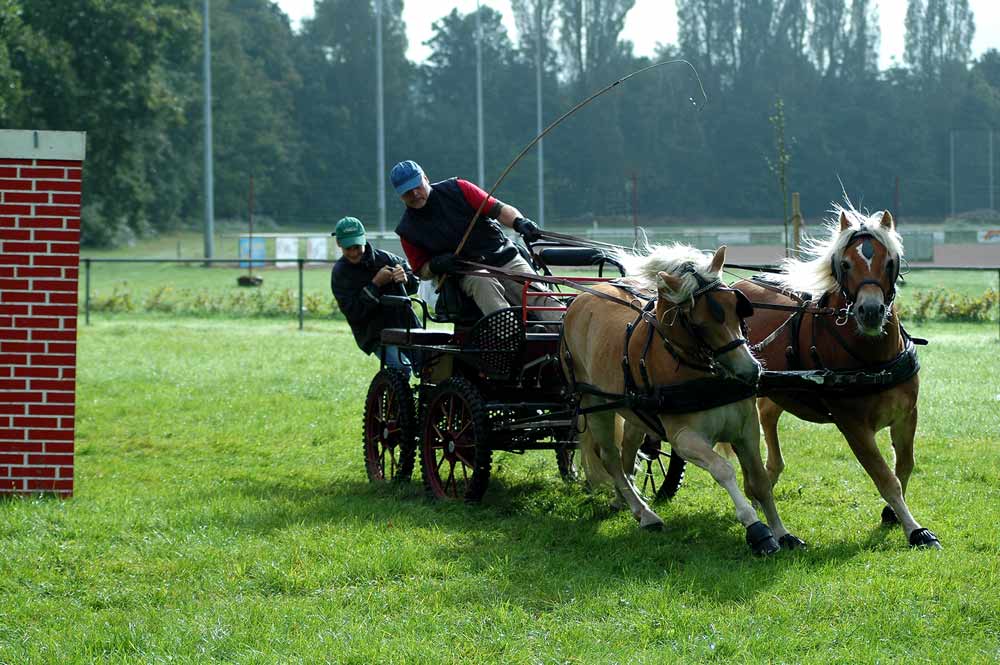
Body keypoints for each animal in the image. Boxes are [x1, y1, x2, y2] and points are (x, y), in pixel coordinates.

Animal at [564, 244, 804, 556]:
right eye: (698, 323)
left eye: (736, 307)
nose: (750, 370)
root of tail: (581, 298)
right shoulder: (684, 438)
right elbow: (723, 470)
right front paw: (756, 528)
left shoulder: (746, 429)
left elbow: (760, 481)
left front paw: (782, 532)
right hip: (594, 404)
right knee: (610, 458)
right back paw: (644, 513)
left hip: (634, 413)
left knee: (628, 455)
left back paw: (625, 501)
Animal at [732, 208, 940, 548]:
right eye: (845, 264)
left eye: (889, 262)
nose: (871, 311)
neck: (874, 360)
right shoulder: (853, 426)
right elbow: (885, 477)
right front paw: (915, 529)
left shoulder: (907, 414)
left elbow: (905, 466)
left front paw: (894, 514)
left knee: (768, 417)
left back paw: (768, 477)